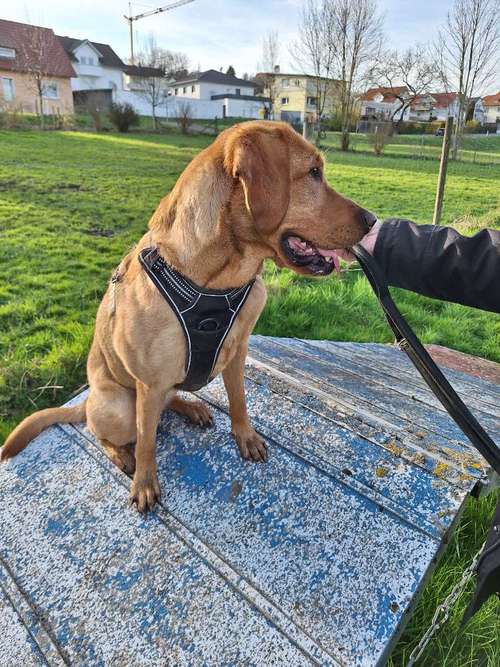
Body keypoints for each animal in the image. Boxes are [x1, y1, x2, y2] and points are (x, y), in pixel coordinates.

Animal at [1, 121, 374, 512]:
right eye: (314, 172)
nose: (373, 220)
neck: (219, 280)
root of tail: (88, 401)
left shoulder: (236, 353)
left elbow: (239, 401)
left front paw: (245, 436)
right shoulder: (149, 383)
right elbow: (147, 443)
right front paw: (144, 482)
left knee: (166, 404)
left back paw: (191, 408)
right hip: (120, 405)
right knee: (109, 430)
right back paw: (121, 455)